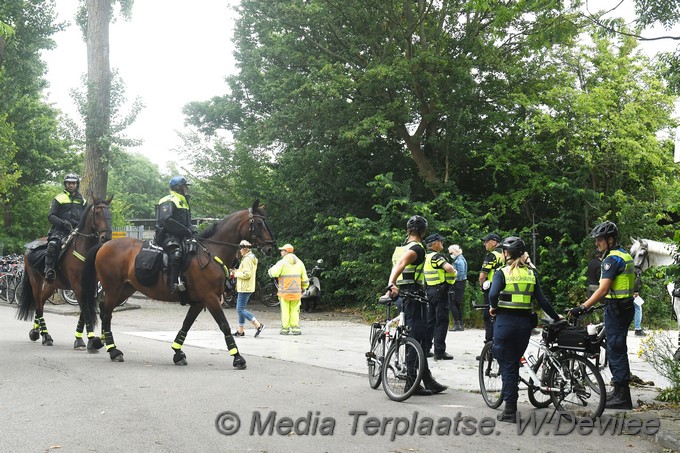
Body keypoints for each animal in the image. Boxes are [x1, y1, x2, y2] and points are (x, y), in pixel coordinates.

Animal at [16, 196, 113, 348]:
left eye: (110, 214)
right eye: (97, 213)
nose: (106, 237)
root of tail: (29, 248)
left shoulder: (89, 287)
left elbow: (83, 312)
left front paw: (80, 338)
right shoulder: (78, 287)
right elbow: (85, 310)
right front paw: (90, 340)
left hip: (52, 285)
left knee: (41, 303)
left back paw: (36, 332)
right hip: (35, 281)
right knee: (38, 305)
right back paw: (46, 336)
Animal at [81, 200, 276, 370]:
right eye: (259, 222)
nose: (271, 247)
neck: (210, 254)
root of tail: (104, 245)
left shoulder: (199, 302)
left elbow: (186, 325)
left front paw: (177, 352)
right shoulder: (210, 298)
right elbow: (224, 325)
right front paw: (237, 357)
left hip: (125, 289)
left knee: (104, 309)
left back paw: (102, 342)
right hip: (113, 289)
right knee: (106, 314)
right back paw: (113, 350)